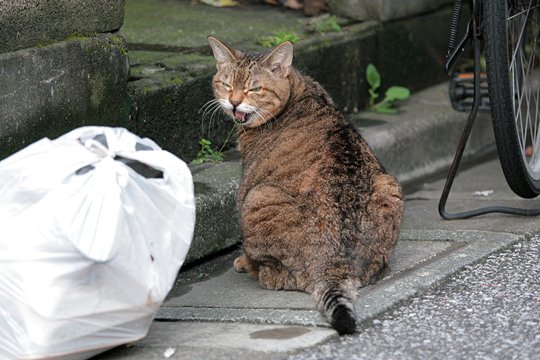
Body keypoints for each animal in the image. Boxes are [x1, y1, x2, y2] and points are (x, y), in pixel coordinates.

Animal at [209, 36, 402, 334]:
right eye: (227, 84)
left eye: (254, 88)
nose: (234, 103)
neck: (299, 88)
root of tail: (334, 266)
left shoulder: (246, 188)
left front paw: (242, 260)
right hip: (389, 186)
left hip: (258, 197)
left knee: (271, 275)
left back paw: (251, 267)